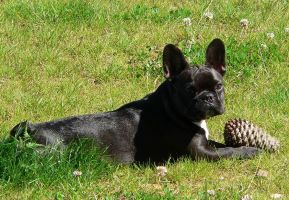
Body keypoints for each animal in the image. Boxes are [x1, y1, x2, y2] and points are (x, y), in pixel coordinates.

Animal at [10, 38, 258, 163]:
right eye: (189, 90)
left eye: (218, 86)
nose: (207, 97)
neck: (171, 109)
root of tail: (27, 129)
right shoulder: (200, 152)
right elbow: (227, 152)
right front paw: (249, 151)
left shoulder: (205, 141)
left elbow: (222, 144)